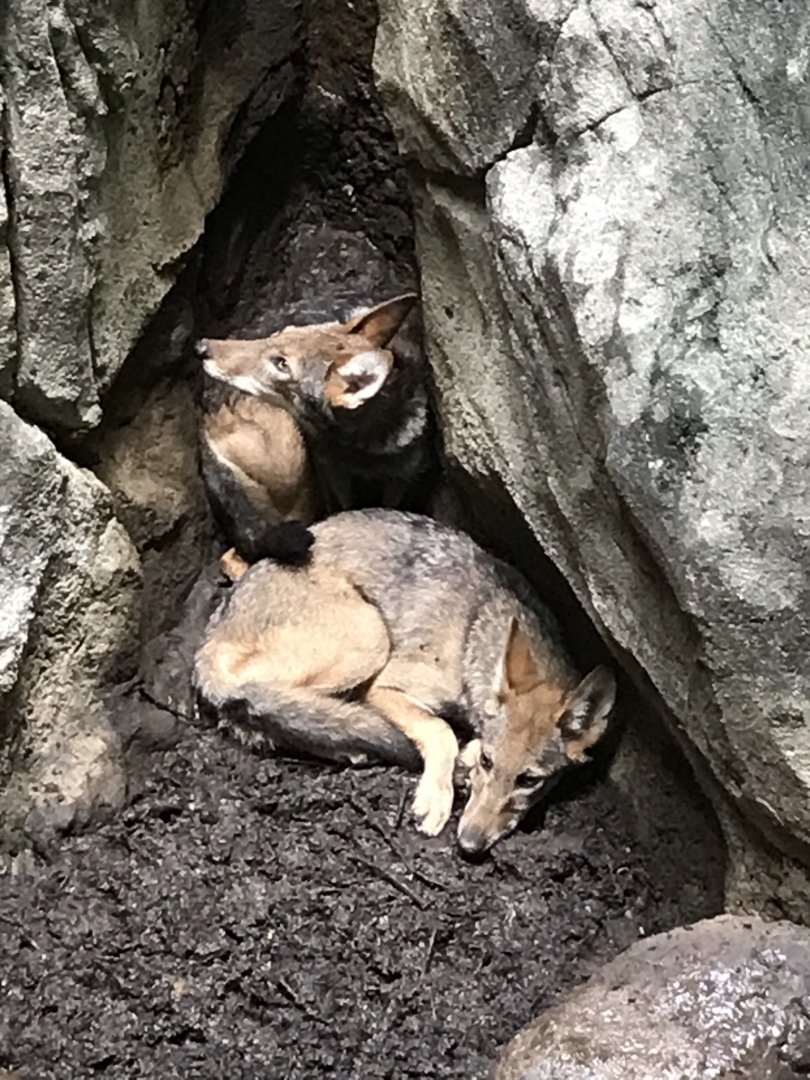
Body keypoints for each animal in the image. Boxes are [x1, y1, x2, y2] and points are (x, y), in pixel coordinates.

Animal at [194, 512, 615, 856]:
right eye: (488, 762)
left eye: (528, 780)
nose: (469, 845)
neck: (474, 634)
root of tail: (208, 645)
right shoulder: (385, 687)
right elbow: (441, 729)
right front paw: (437, 794)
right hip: (370, 638)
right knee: (285, 705)